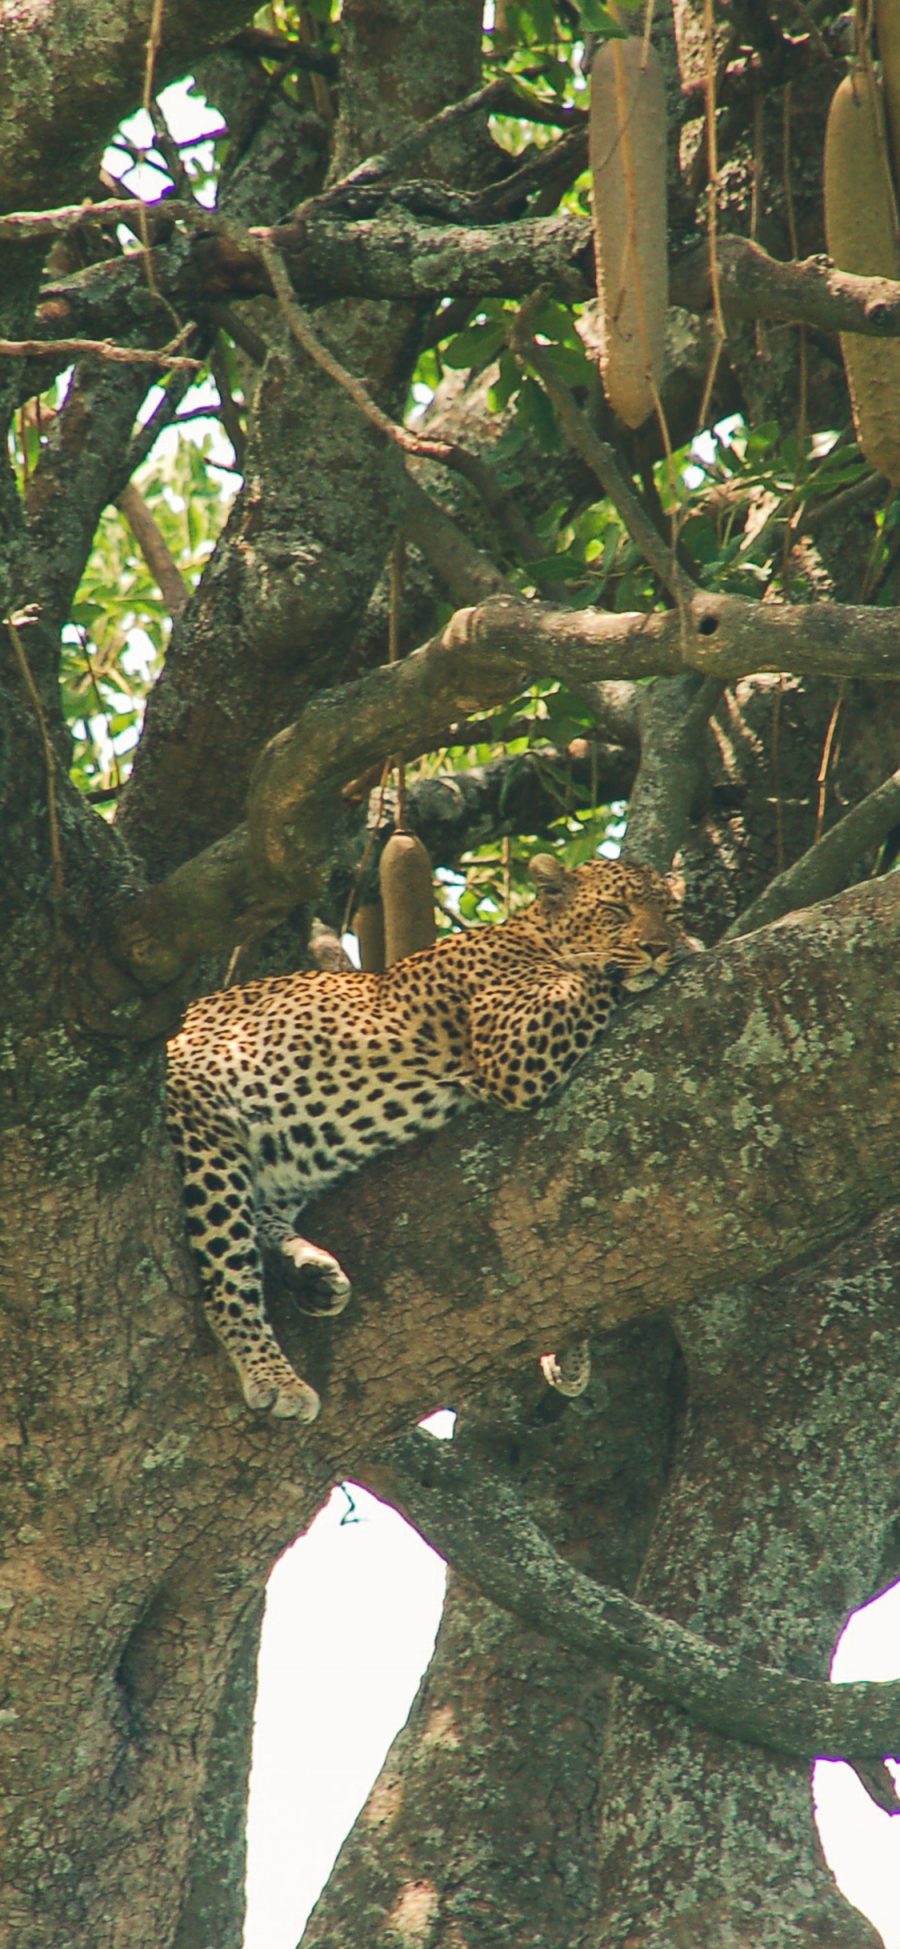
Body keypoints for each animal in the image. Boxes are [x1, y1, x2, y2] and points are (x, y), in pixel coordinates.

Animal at [165, 849, 685, 1418]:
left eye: (670, 913)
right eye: (616, 909)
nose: (659, 946)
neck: (533, 934)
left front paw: (568, 1352)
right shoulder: (513, 1047)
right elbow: (592, 974)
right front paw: (678, 951)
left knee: (264, 1218)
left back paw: (308, 1272)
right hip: (205, 1126)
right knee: (227, 1276)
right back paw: (272, 1373)